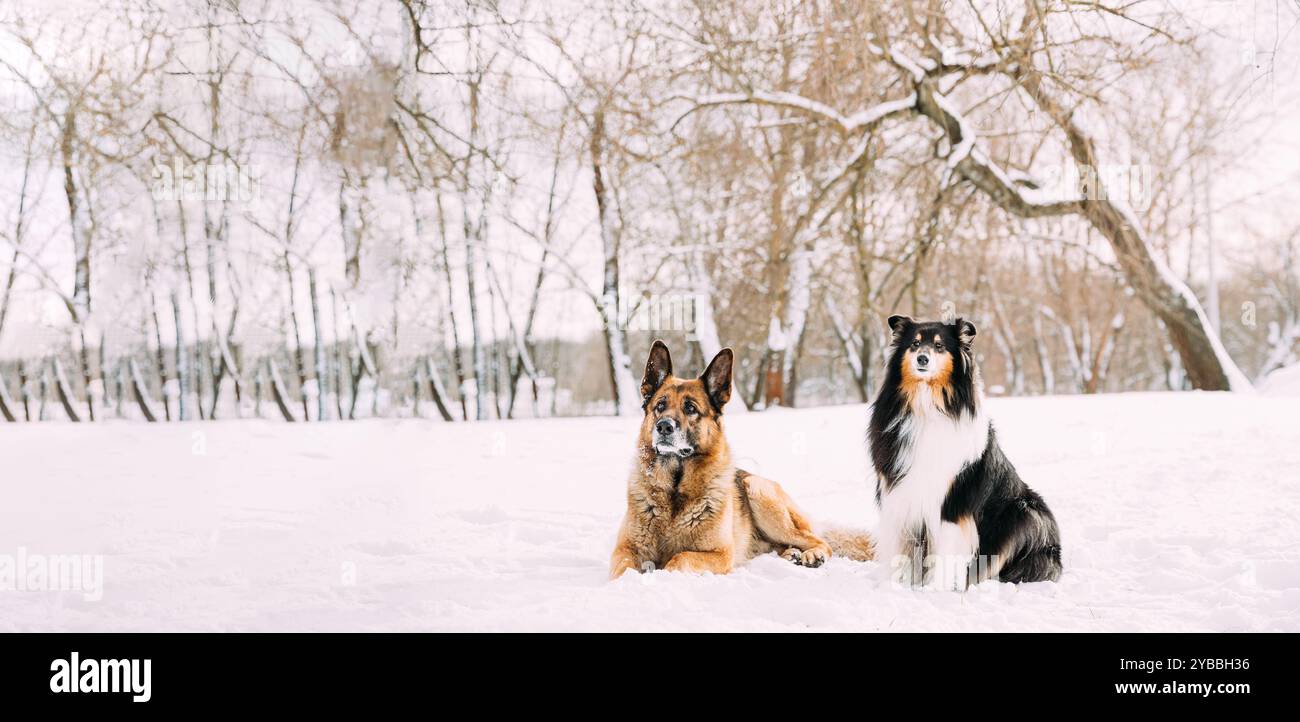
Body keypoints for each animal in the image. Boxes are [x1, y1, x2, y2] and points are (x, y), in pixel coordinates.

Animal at [608, 340, 873, 580]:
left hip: (758, 491)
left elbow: (679, 558)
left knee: (818, 540)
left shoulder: (720, 554)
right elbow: (623, 569)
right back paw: (791, 554)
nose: (664, 426)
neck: (674, 490)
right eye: (660, 406)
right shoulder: (624, 550)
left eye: (690, 408)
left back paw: (812, 555)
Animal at [868, 314, 1060, 588]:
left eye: (939, 346)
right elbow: (900, 552)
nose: (922, 359)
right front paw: (895, 586)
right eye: (915, 344)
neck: (927, 404)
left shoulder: (952, 505)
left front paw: (935, 590)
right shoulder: (899, 497)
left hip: (1024, 513)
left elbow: (946, 554)